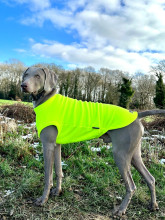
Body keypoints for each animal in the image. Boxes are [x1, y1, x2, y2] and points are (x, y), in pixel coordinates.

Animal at [20, 66, 162, 217]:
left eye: (37, 76)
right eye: (26, 74)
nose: (23, 85)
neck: (47, 99)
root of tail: (136, 115)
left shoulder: (47, 145)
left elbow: (48, 175)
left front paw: (43, 199)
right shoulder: (56, 145)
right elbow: (58, 171)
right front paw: (57, 192)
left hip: (120, 155)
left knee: (132, 186)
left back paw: (121, 210)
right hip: (134, 154)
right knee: (150, 178)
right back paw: (153, 205)